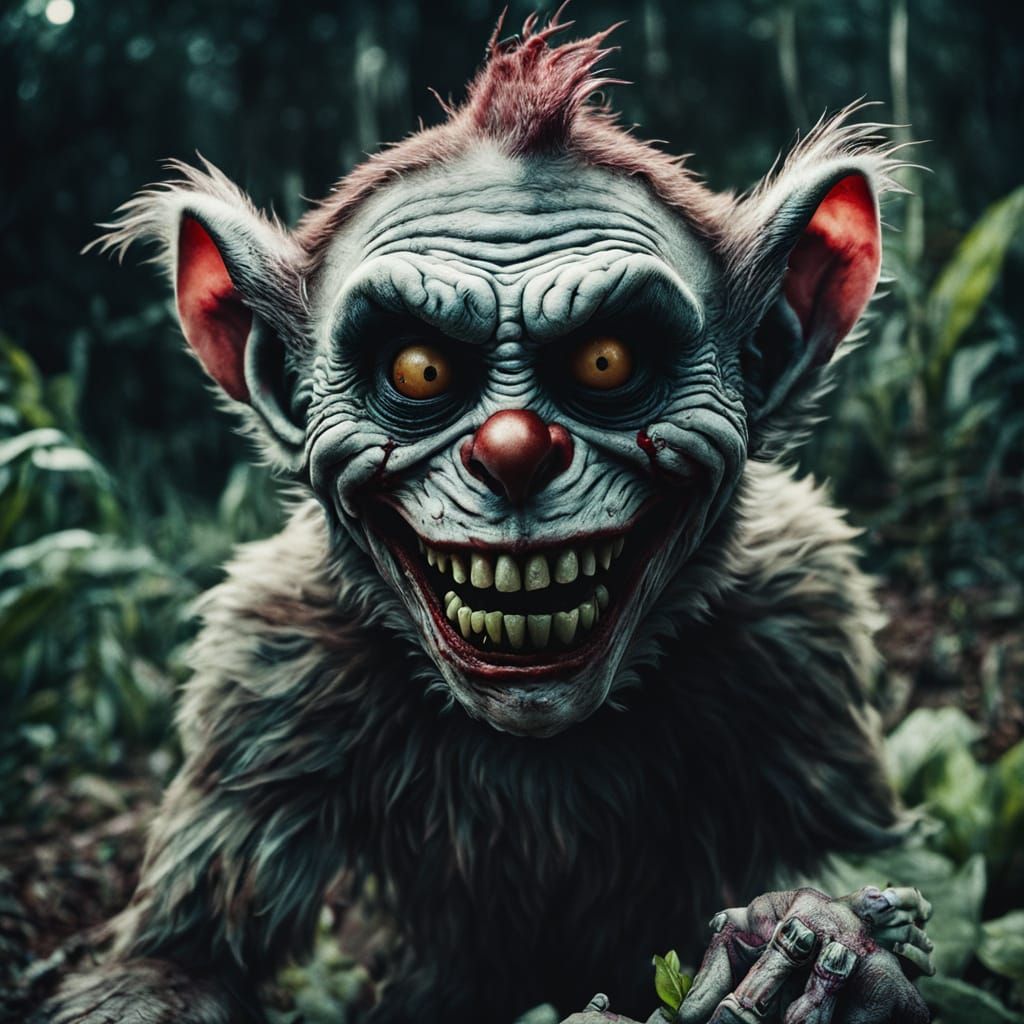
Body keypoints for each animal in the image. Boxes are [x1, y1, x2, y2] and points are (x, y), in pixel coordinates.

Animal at [38, 12, 937, 1024]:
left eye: (606, 360)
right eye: (420, 368)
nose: (513, 452)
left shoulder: (801, 615)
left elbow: (865, 851)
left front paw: (829, 938)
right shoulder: (264, 665)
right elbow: (172, 965)